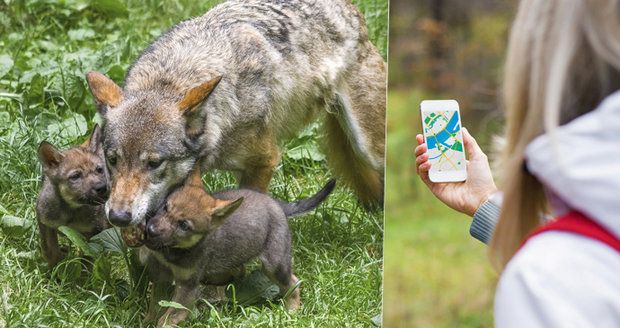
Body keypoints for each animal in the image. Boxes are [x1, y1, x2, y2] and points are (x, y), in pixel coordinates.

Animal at [87, 0, 386, 228]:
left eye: (153, 163)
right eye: (112, 160)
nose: (118, 217)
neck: (171, 78)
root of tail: (352, 11)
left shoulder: (265, 160)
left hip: (369, 148)